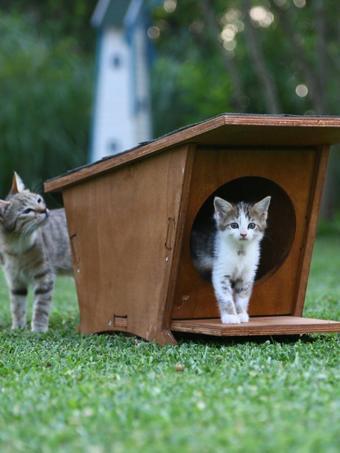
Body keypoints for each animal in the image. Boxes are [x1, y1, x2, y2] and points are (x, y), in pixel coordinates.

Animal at [0, 171, 72, 330]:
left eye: (39, 200)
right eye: (27, 210)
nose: (44, 210)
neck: (16, 246)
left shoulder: (44, 277)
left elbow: (41, 306)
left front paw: (38, 328)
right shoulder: (15, 280)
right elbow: (17, 305)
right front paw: (17, 327)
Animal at [193, 196, 270, 324]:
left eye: (251, 225)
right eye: (234, 225)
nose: (243, 234)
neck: (240, 251)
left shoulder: (247, 275)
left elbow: (243, 295)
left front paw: (241, 314)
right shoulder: (220, 272)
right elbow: (225, 296)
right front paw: (230, 316)